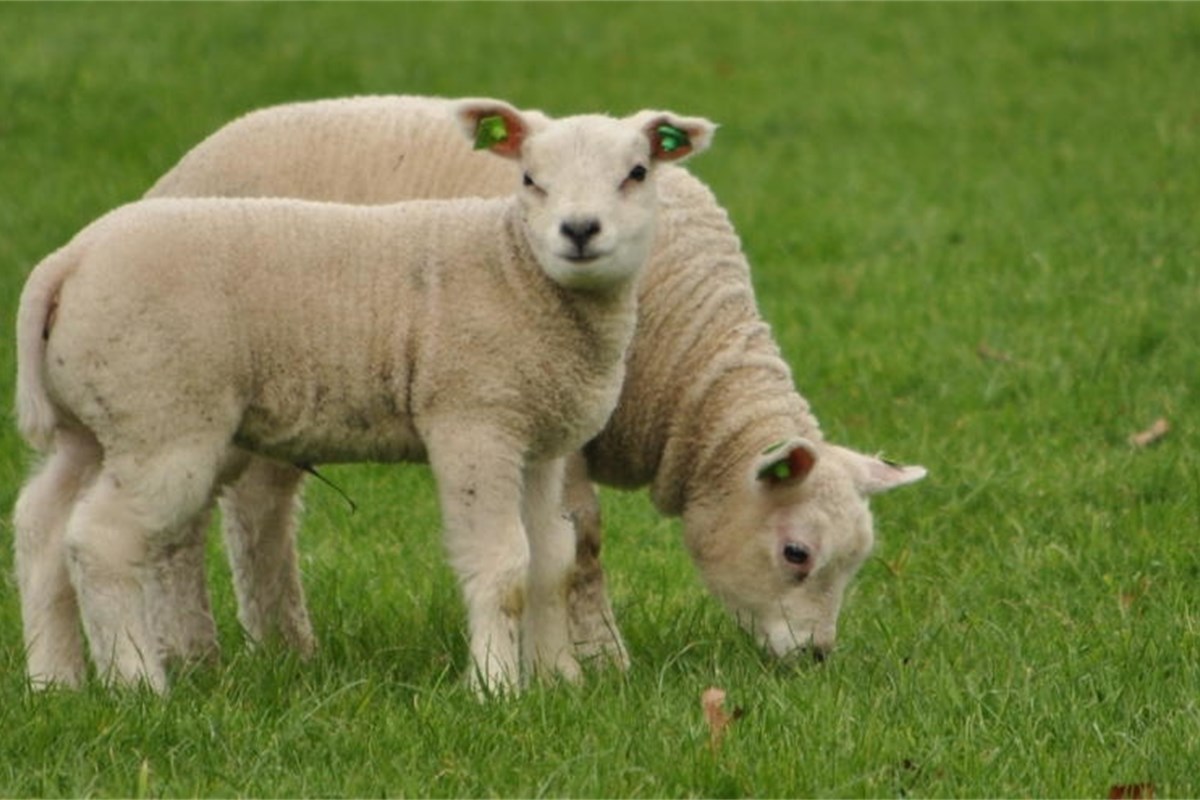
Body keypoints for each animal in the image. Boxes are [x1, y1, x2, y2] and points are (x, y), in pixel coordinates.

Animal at [14, 97, 715, 695]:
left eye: (636, 173)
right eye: (529, 179)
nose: (579, 230)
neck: (514, 269)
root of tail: (68, 261)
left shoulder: (538, 442)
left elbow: (551, 561)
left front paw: (558, 681)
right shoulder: (474, 422)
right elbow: (502, 565)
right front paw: (496, 688)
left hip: (95, 424)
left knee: (41, 525)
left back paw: (56, 681)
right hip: (162, 418)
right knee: (99, 541)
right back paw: (137, 684)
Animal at [138, 95, 926, 671]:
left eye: (855, 563)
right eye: (797, 554)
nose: (817, 657)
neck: (686, 362)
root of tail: (175, 172)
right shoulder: (558, 423)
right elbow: (583, 544)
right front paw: (602, 659)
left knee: (259, 513)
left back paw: (287, 650)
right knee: (189, 525)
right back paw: (192, 656)